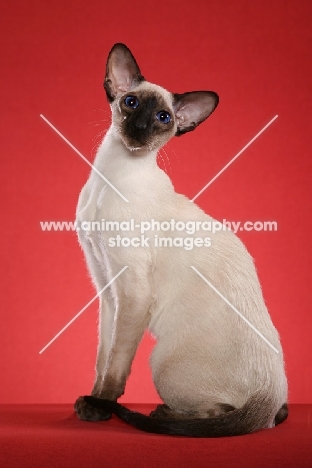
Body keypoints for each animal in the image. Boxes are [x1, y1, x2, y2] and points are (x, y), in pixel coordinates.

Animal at [73, 42, 288, 436]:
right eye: (130, 103)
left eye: (163, 118)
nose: (140, 127)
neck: (110, 176)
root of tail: (269, 393)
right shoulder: (107, 287)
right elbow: (102, 358)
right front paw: (91, 399)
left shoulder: (132, 291)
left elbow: (116, 365)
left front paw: (100, 407)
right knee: (271, 417)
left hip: (161, 363)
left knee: (229, 415)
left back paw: (161, 414)